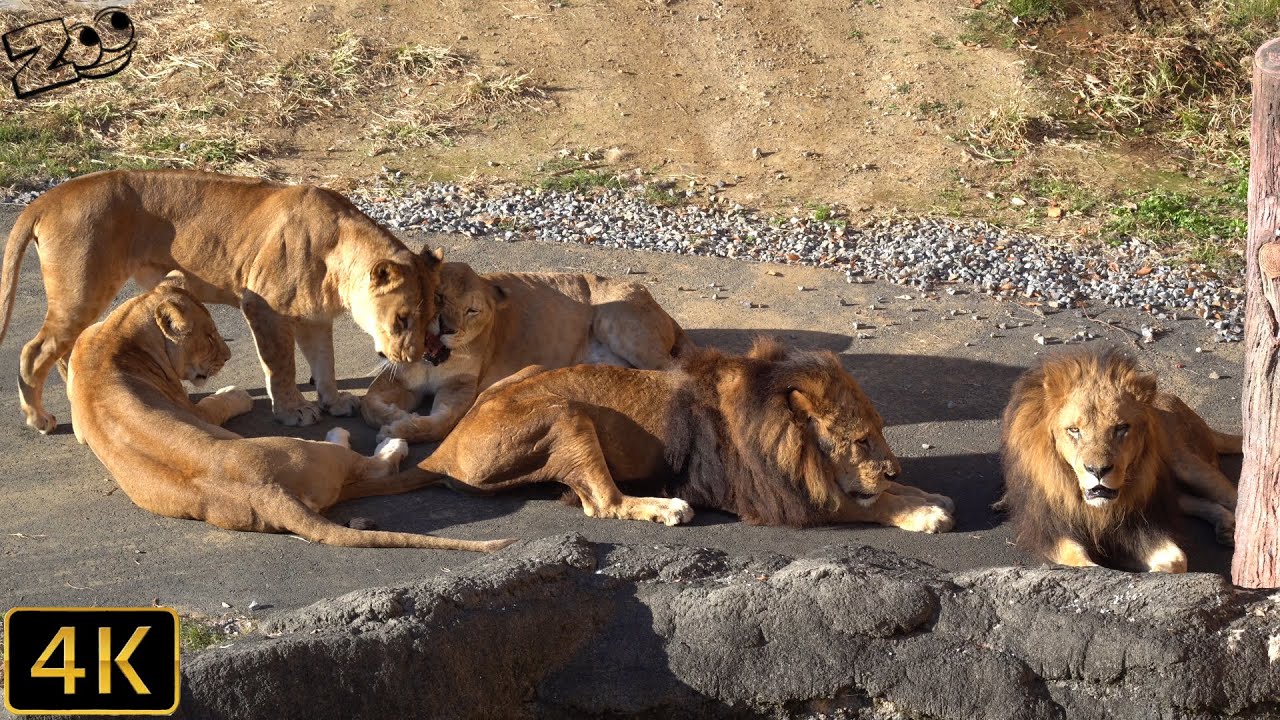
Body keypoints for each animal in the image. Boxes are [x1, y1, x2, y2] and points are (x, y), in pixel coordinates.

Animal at [0, 169, 447, 433]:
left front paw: (334, 400)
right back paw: (39, 418)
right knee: (34, 350)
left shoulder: (315, 319)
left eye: (433, 316)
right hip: (81, 290)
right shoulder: (264, 306)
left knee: (62, 349)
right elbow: (281, 365)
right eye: (402, 319)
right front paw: (293, 411)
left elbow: (325, 363)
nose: (415, 358)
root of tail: (48, 198)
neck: (339, 254)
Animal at [66, 281, 511, 551]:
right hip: (308, 451)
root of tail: (269, 494)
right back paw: (374, 440)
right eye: (210, 336)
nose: (227, 355)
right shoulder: (189, 405)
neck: (118, 334)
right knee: (372, 464)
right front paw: (237, 393)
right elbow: (217, 404)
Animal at [363, 261, 688, 443]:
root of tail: (657, 304)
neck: (433, 362)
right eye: (440, 297)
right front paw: (393, 415)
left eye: (471, 310)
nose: (447, 329)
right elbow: (370, 404)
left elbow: (440, 424)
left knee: (674, 370)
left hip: (616, 321)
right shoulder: (397, 379)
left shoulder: (460, 388)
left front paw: (398, 429)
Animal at [405, 338, 955, 531]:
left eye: (882, 431)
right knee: (604, 503)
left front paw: (924, 493)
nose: (894, 469)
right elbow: (862, 505)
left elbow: (873, 496)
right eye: (860, 441)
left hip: (535, 370)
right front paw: (923, 512)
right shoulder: (772, 498)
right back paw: (666, 507)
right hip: (566, 413)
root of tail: (444, 450)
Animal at [997, 349, 1242, 573]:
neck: (1096, 509)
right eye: (1074, 430)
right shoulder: (1052, 531)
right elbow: (1085, 564)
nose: (1098, 470)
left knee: (1232, 497)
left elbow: (1176, 561)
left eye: (1121, 428)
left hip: (1187, 466)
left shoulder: (1143, 523)